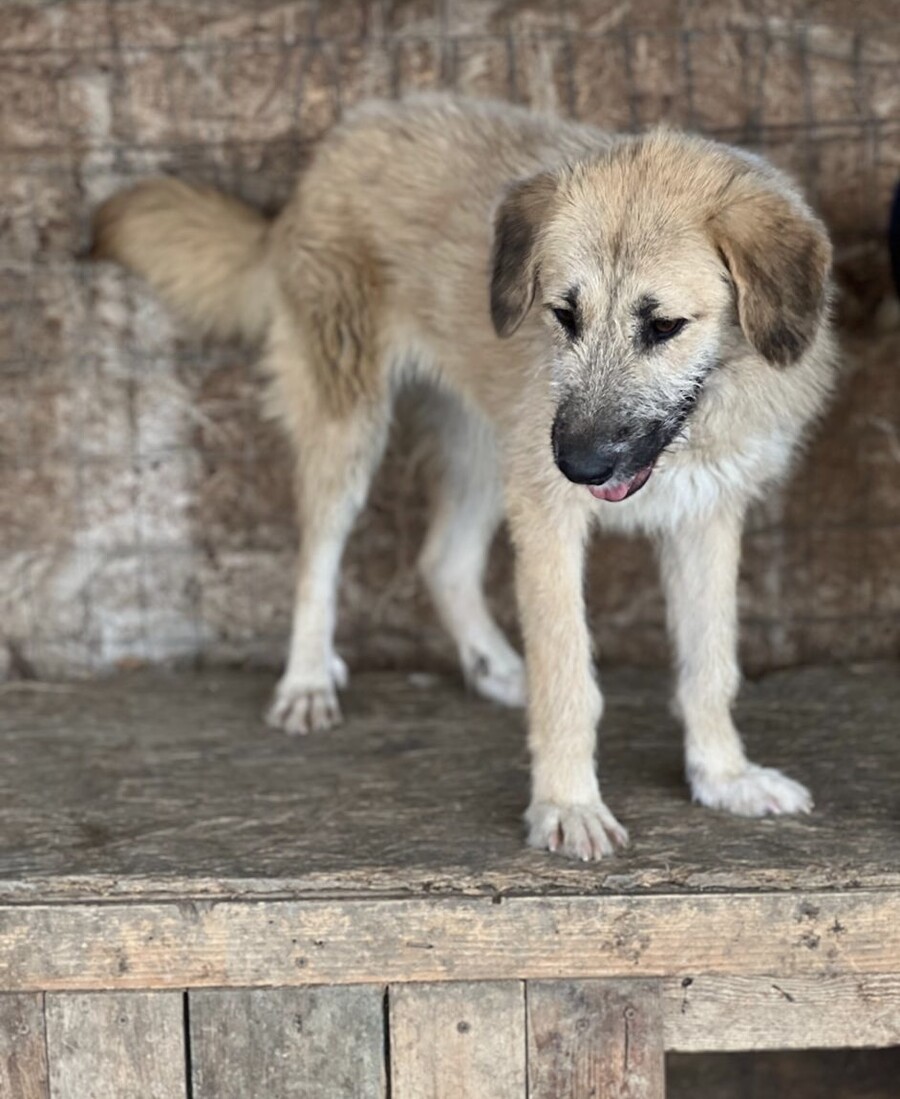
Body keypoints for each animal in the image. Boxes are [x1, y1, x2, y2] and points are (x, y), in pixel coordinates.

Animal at [92, 95, 838, 860]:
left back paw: (495, 666)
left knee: (440, 561)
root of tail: (341, 141)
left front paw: (724, 776)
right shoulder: (548, 516)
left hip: (487, 450)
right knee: (316, 558)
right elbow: (568, 676)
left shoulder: (705, 519)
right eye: (564, 314)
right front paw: (567, 804)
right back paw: (307, 679)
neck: (696, 429)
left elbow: (710, 666)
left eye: (664, 326)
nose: (579, 465)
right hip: (351, 424)